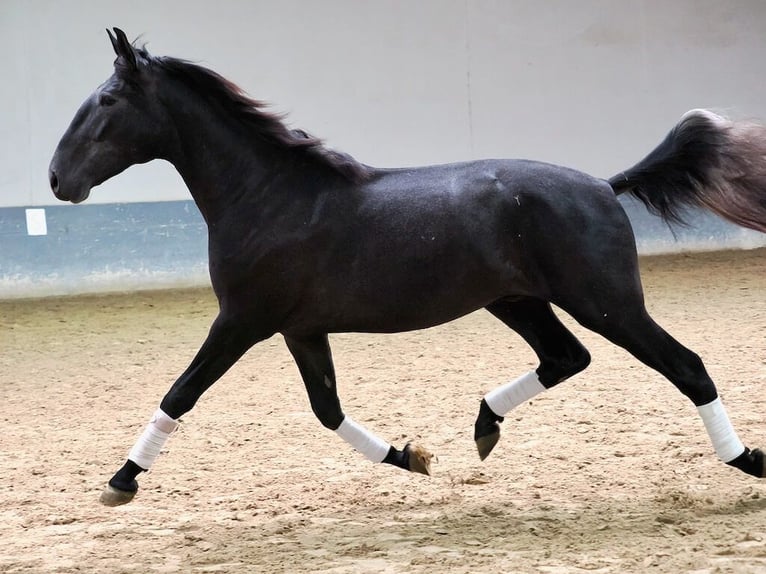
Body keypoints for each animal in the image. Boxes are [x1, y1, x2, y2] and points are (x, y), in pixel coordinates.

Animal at [49, 28, 766, 508]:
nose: (58, 180)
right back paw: (484, 426)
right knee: (566, 358)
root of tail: (603, 184)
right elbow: (326, 410)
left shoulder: (241, 321)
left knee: (685, 367)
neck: (270, 196)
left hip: (607, 303)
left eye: (108, 101)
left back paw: (749, 462)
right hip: (518, 301)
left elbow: (181, 393)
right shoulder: (299, 330)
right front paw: (411, 456)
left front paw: (119, 481)